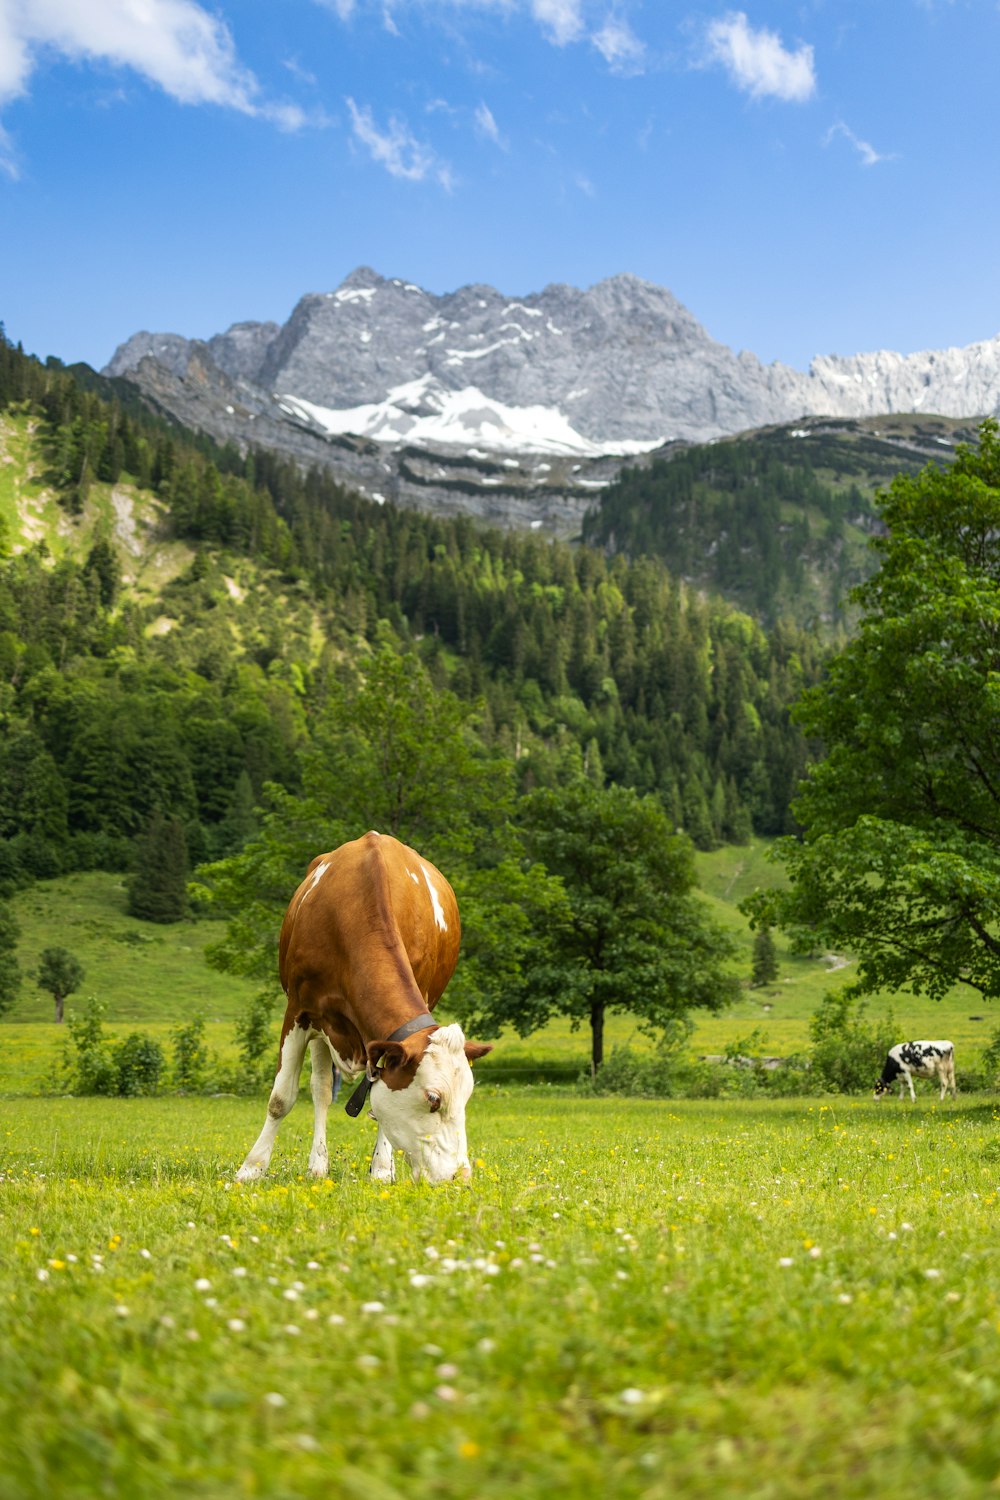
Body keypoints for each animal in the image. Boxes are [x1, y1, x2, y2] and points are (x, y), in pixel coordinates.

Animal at [235, 828, 491, 1188]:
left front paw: (382, 1168)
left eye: (466, 1097)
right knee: (321, 1090)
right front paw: (252, 1168)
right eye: (433, 1099)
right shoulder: (298, 1010)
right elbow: (281, 1098)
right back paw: (317, 1164)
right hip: (321, 1030)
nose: (460, 1176)